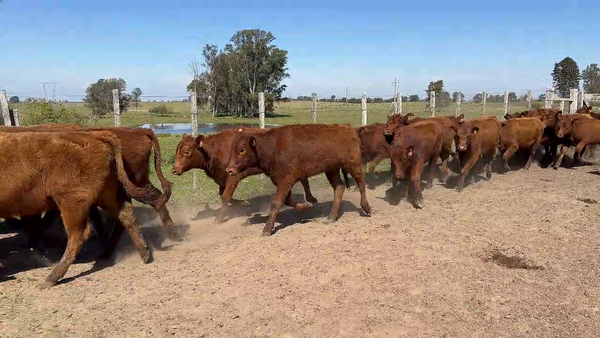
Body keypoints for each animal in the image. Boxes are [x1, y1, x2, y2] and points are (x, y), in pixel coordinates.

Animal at [0, 129, 155, 288]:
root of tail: (95, 135)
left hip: (70, 202)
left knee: (78, 234)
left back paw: (51, 278)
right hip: (105, 195)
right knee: (126, 215)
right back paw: (144, 254)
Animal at [172, 128, 318, 223]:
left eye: (186, 152)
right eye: (177, 150)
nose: (174, 170)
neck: (216, 150)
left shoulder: (233, 177)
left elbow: (225, 196)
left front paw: (218, 219)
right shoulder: (222, 179)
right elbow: (223, 195)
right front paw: (243, 203)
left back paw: (311, 198)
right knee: (304, 178)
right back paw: (310, 198)